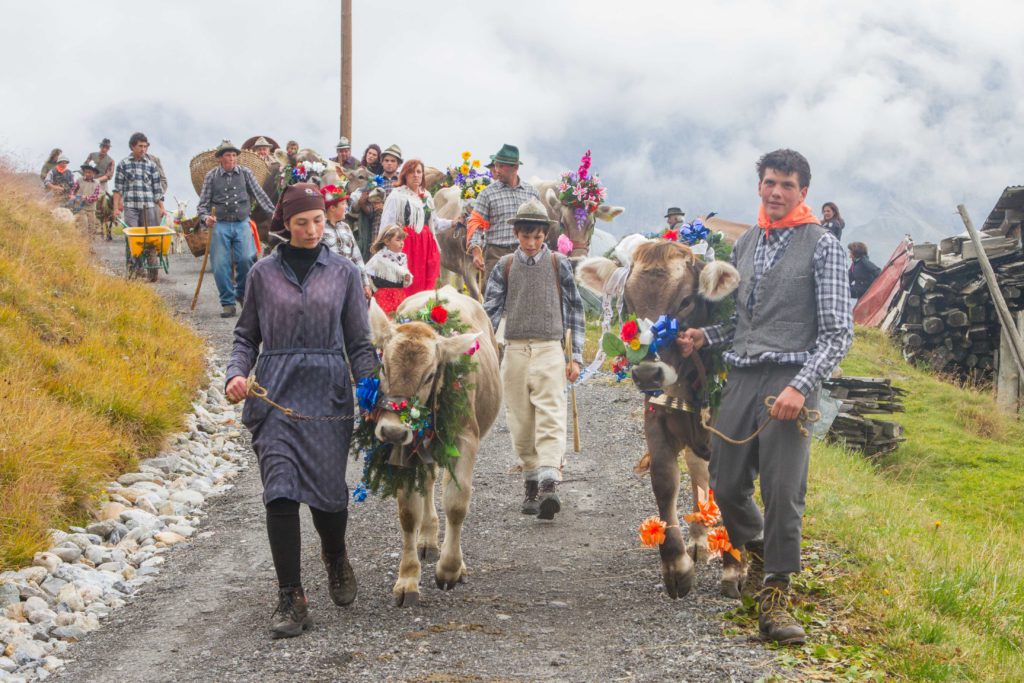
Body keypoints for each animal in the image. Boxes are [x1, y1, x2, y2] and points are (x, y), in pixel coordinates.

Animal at [362, 286, 501, 606]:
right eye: (383, 366)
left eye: (428, 375)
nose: (392, 430)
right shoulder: (403, 447)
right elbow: (408, 512)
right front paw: (407, 580)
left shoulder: (466, 439)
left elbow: (457, 503)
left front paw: (449, 570)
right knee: (427, 481)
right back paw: (427, 540)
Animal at [577, 239, 745, 598]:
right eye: (628, 301)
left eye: (685, 301)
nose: (647, 372)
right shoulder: (656, 418)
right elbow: (665, 481)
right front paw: (676, 566)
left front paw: (735, 567)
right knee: (698, 471)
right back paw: (698, 540)